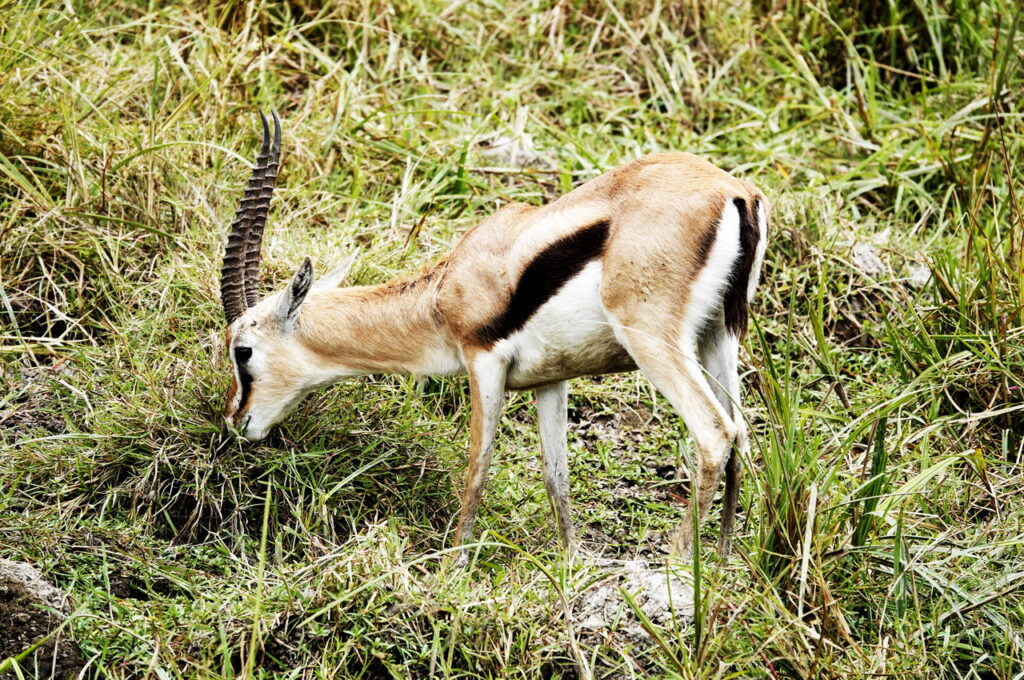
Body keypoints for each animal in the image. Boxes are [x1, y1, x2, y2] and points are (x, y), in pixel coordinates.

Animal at [219, 111, 768, 560]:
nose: (235, 421)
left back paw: (678, 562)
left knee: (715, 432)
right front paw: (570, 564)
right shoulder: (552, 380)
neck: (446, 290)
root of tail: (735, 191)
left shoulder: (483, 362)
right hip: (718, 337)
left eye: (243, 351)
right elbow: (555, 475)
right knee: (742, 432)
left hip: (654, 342)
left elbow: (477, 463)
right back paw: (721, 561)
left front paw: (453, 567)